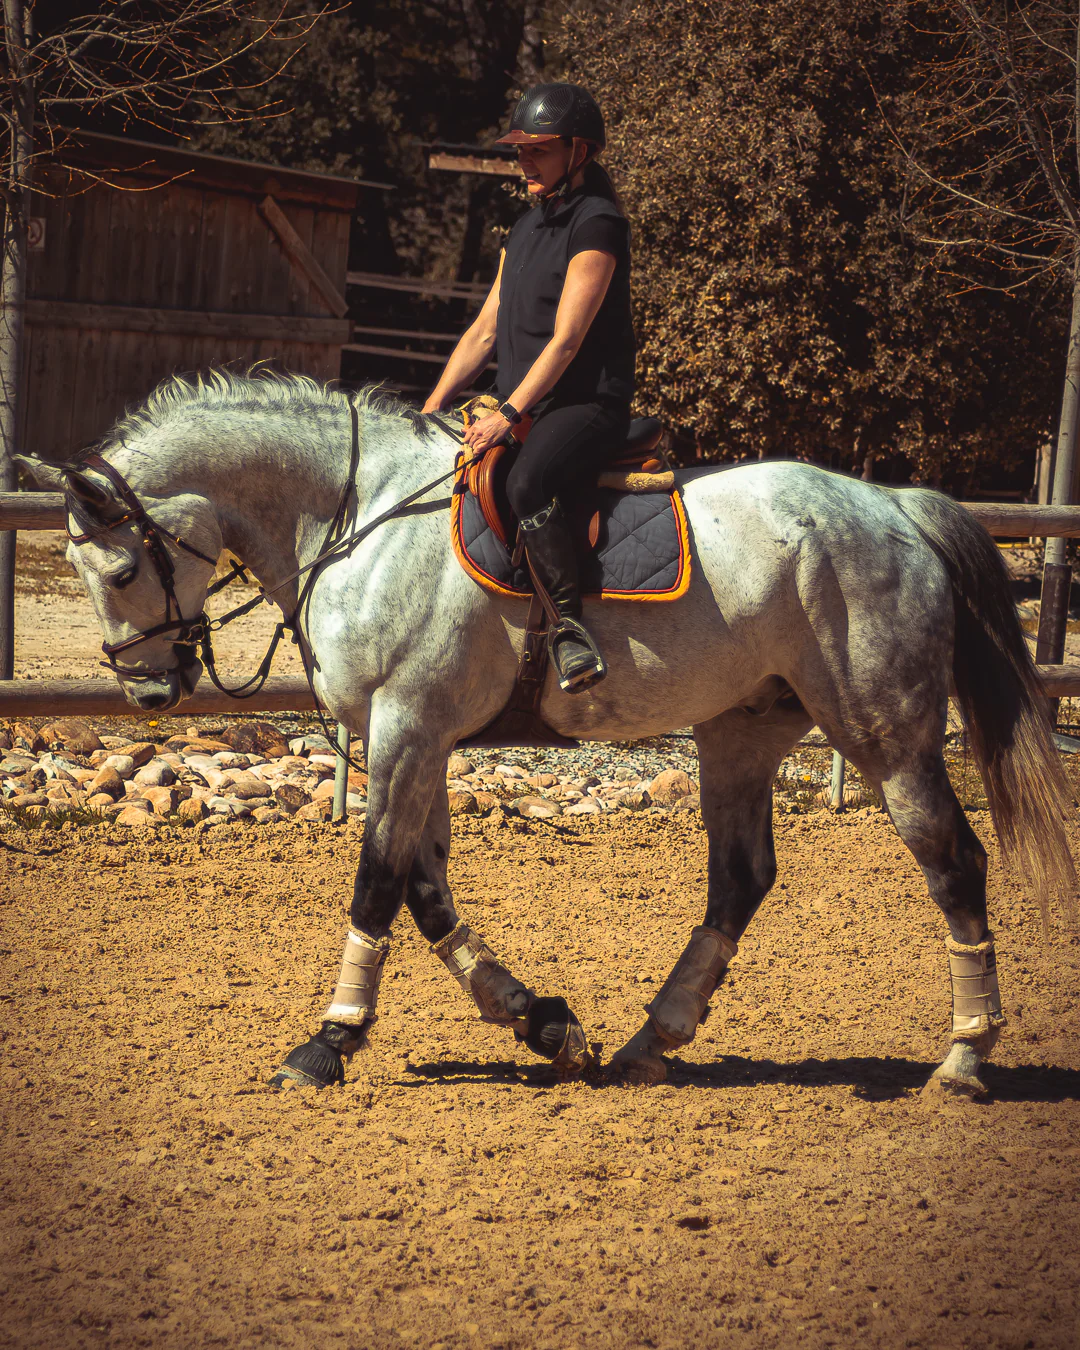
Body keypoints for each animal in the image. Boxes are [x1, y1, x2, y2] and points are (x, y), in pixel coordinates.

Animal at [20, 369, 1076, 1099]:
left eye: (120, 571)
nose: (149, 691)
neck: (357, 518)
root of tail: (892, 507)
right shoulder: (417, 741)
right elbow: (426, 894)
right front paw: (543, 1024)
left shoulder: (408, 729)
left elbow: (378, 885)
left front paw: (329, 1040)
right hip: (742, 730)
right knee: (742, 879)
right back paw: (654, 1040)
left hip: (884, 735)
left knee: (953, 864)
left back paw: (964, 1060)